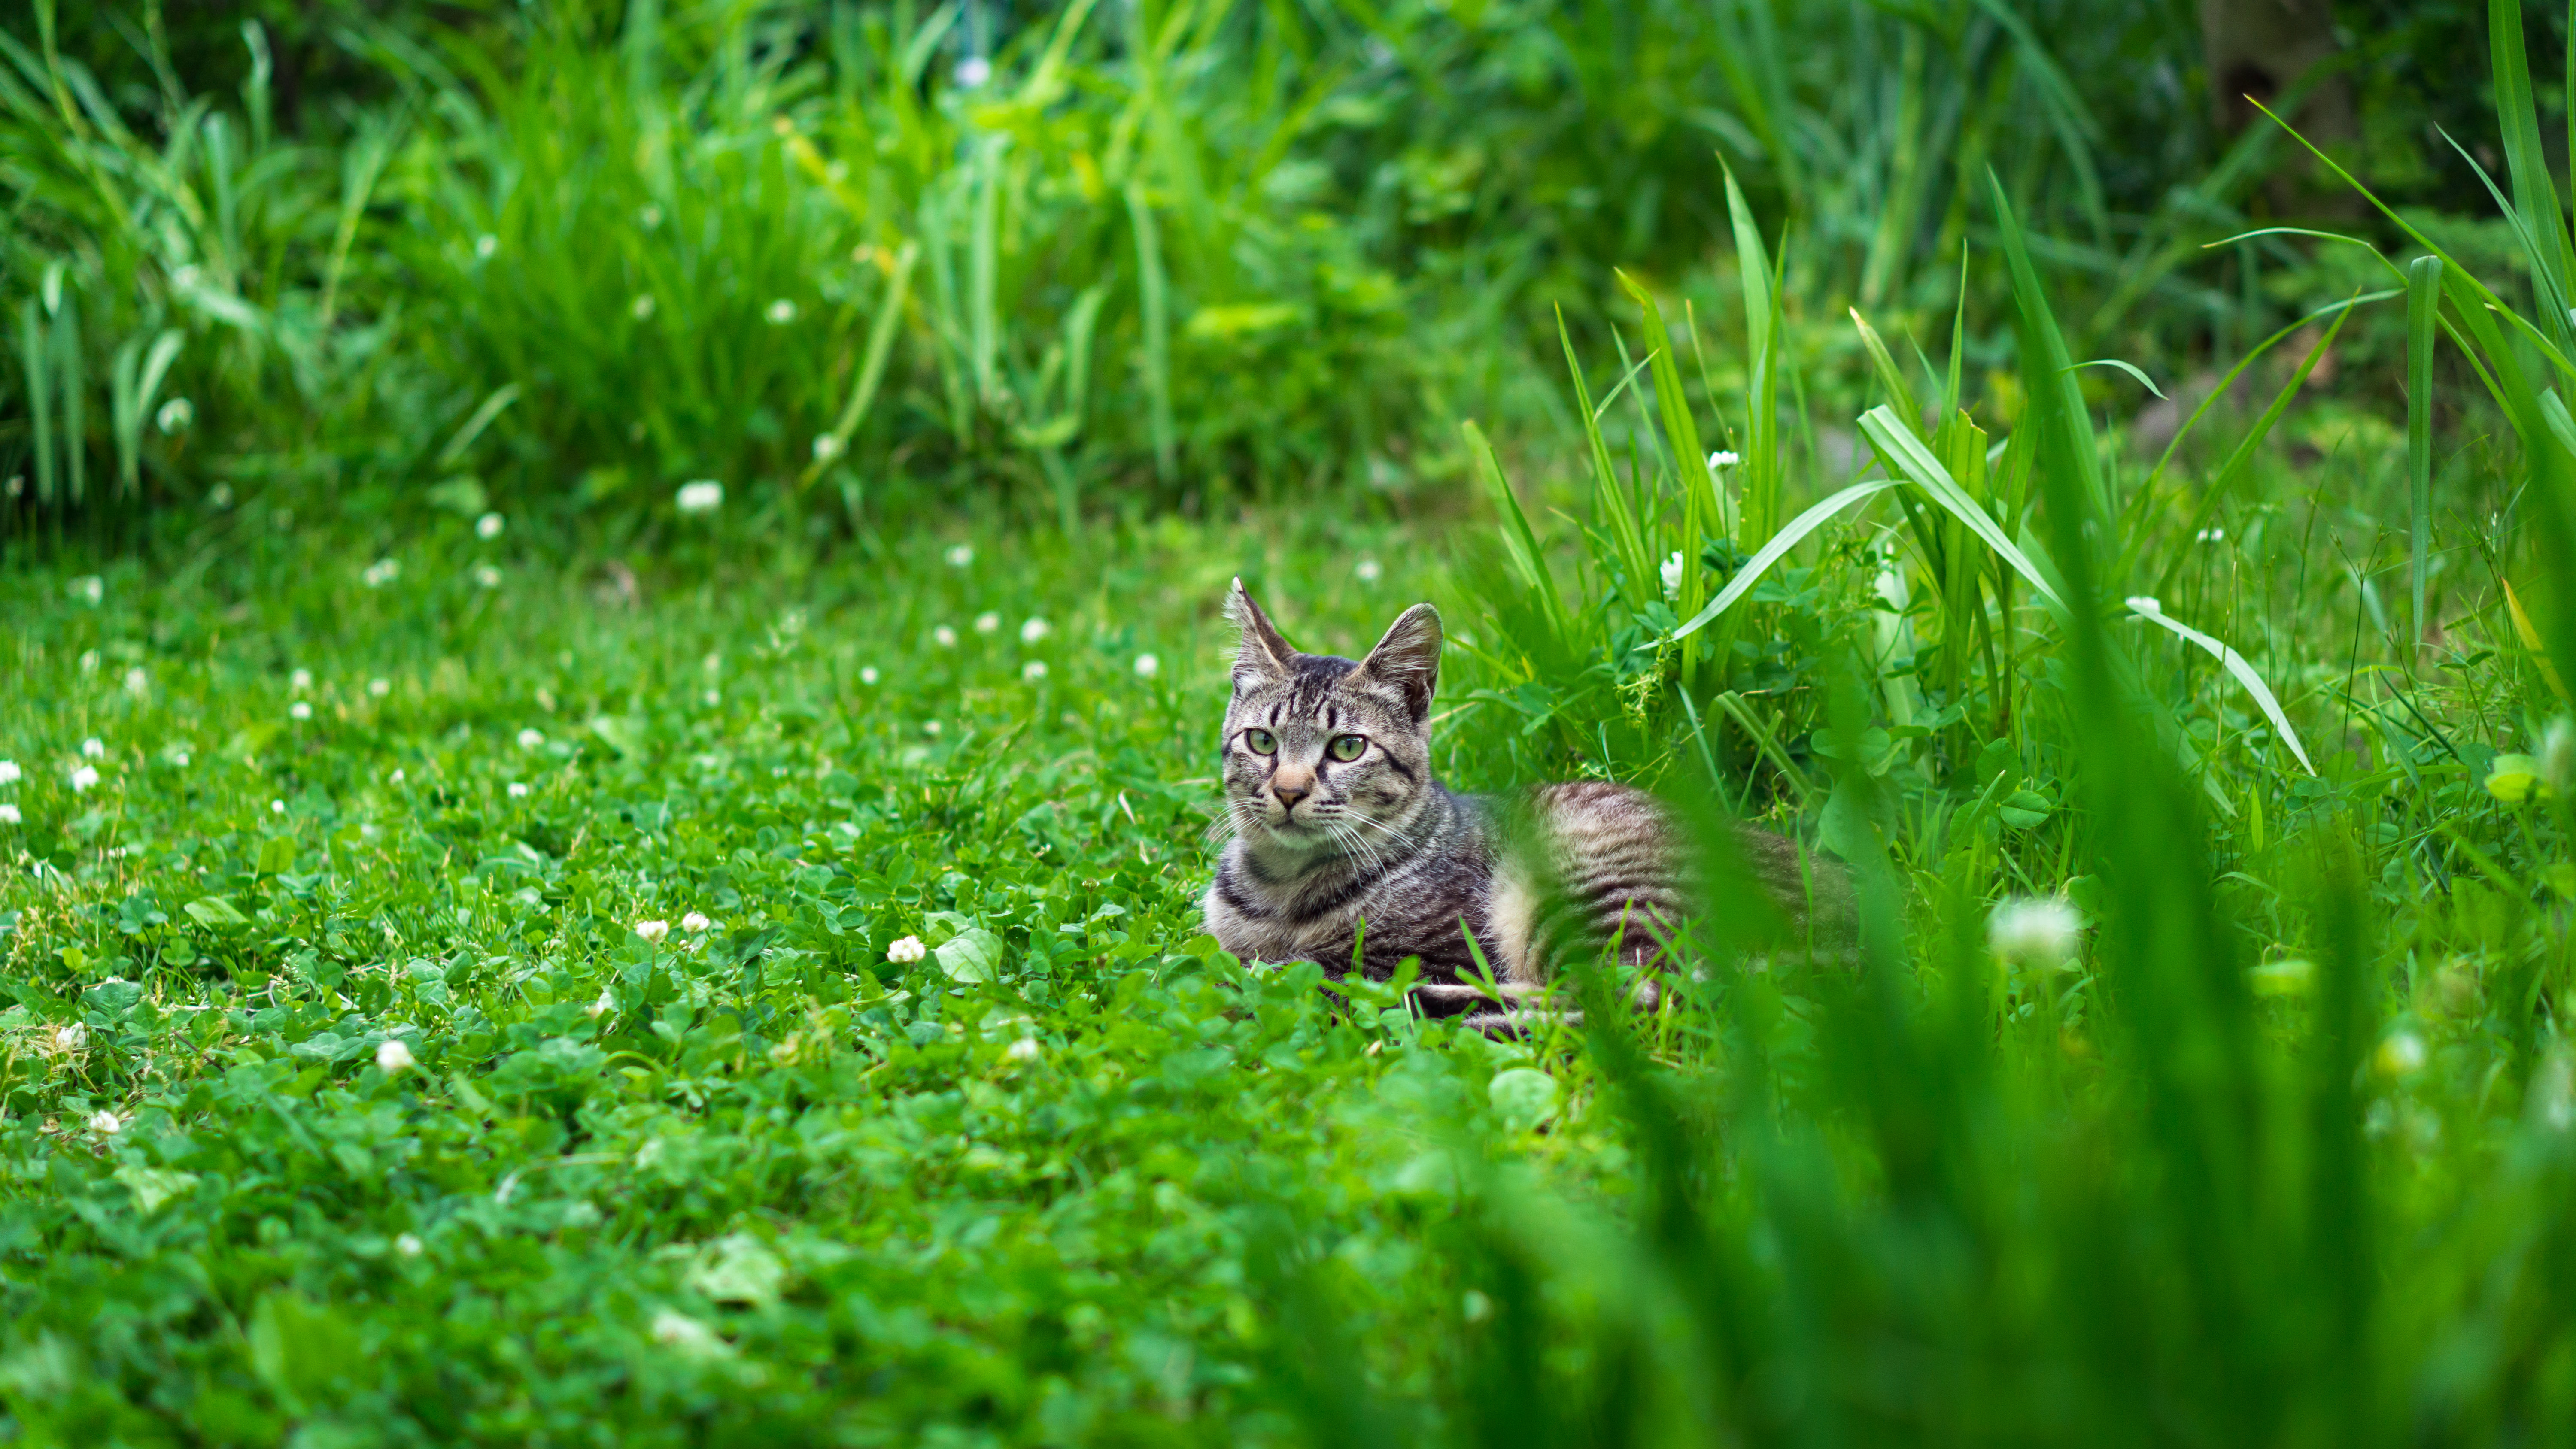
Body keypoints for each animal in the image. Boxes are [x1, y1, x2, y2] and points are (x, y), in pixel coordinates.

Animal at [1200, 582, 1834, 1029]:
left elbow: (1305, 967)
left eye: (1347, 748)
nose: (1288, 791)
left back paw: (1446, 1010)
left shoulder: (1432, 947)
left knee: (1639, 1001)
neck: (1280, 888)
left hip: (1584, 892)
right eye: (1262, 741)